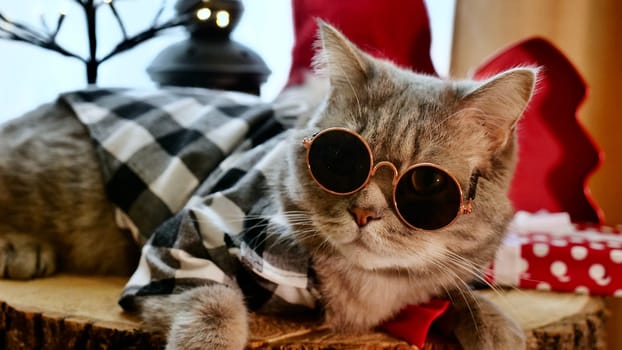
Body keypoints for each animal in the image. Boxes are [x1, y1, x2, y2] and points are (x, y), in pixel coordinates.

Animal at [0, 22, 536, 350]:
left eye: (425, 183)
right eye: (339, 158)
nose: (364, 212)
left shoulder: (434, 286)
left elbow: (462, 297)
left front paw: (497, 325)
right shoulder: (180, 248)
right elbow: (213, 307)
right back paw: (19, 247)